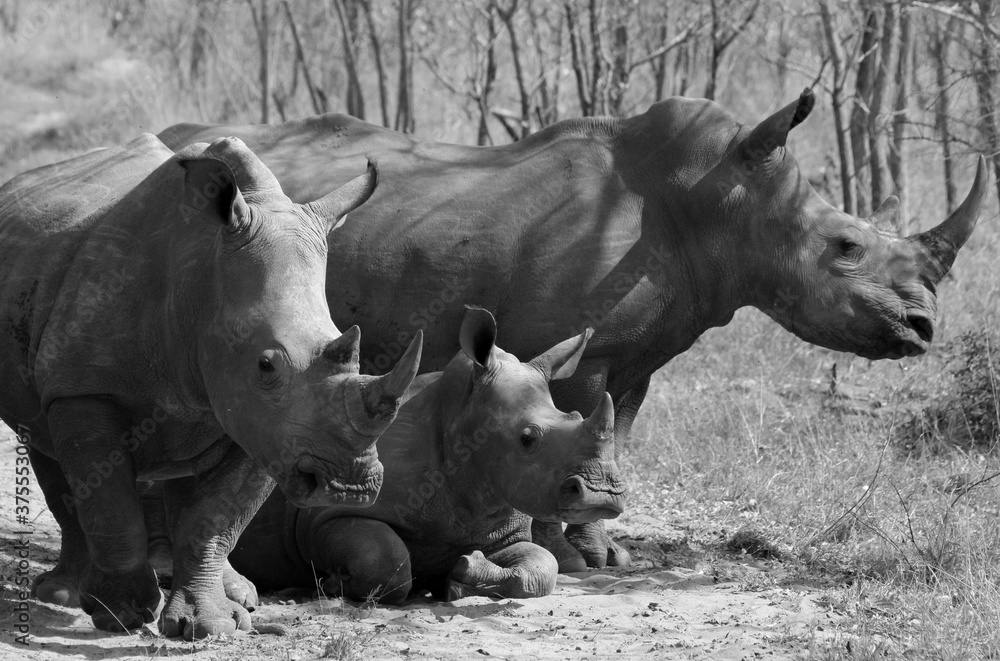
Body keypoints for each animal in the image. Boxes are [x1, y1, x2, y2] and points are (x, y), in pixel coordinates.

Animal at [0, 134, 422, 639]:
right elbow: (110, 504)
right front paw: (122, 615)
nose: (349, 486)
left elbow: (215, 519)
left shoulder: (266, 427)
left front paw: (208, 625)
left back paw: (241, 598)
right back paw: (62, 595)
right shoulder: (84, 388)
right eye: (266, 365)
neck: (202, 278)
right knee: (44, 442)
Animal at [159, 89, 990, 572]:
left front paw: (605, 547)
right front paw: (583, 553)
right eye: (846, 247)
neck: (722, 201)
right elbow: (584, 421)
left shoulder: (635, 356)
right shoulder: (587, 347)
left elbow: (614, 428)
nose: (923, 327)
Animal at [220, 307, 625, 603]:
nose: (602, 495)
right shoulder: (327, 511)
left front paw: (463, 577)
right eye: (527, 438)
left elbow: (543, 568)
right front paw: (334, 583)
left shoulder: (504, 524)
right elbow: (388, 562)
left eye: (574, 416)